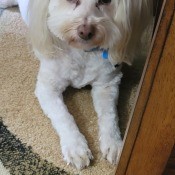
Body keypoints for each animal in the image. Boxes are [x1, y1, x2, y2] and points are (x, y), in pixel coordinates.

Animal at [0, 0, 152, 170]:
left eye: (105, 2)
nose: (85, 31)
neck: (82, 52)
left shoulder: (107, 84)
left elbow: (110, 115)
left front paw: (114, 142)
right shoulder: (47, 89)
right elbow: (64, 116)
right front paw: (75, 147)